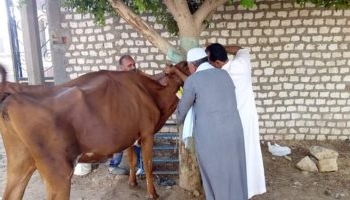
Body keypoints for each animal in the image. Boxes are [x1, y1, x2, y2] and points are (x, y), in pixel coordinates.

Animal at [0, 61, 190, 199]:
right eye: (187, 67)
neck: (151, 93)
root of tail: (12, 97)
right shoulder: (147, 133)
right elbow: (149, 165)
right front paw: (153, 194)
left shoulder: (130, 134)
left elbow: (132, 159)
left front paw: (132, 183)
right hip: (58, 172)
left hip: (19, 163)